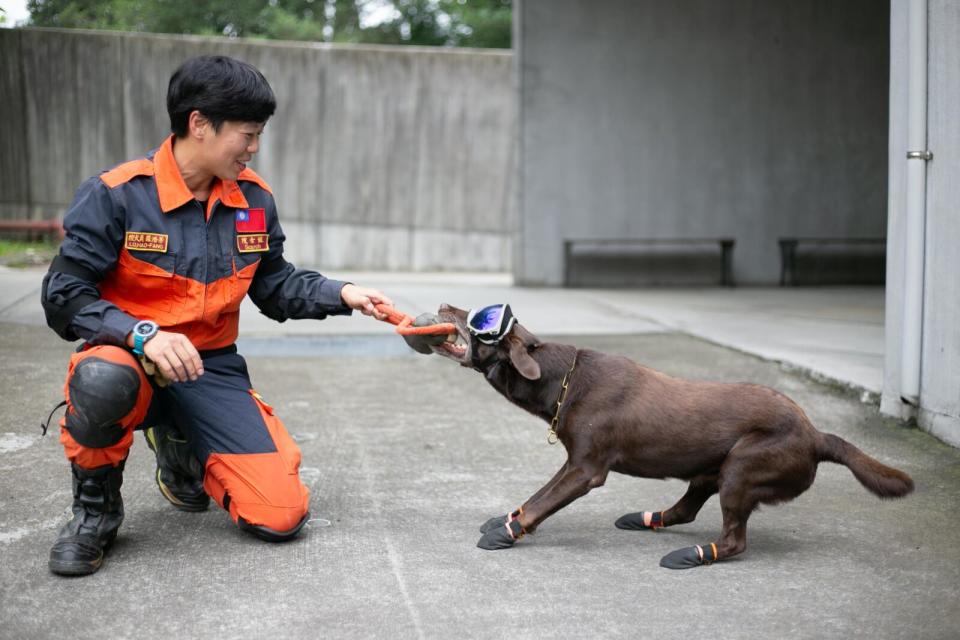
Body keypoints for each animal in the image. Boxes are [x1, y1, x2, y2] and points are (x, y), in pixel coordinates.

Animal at [426, 304, 916, 568]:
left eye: (477, 318)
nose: (445, 304)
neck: (562, 377)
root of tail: (817, 435)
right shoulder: (572, 462)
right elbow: (539, 493)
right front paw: (507, 517)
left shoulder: (586, 468)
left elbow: (545, 499)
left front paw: (509, 531)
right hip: (714, 468)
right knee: (686, 509)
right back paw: (648, 518)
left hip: (743, 466)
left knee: (735, 539)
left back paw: (694, 555)